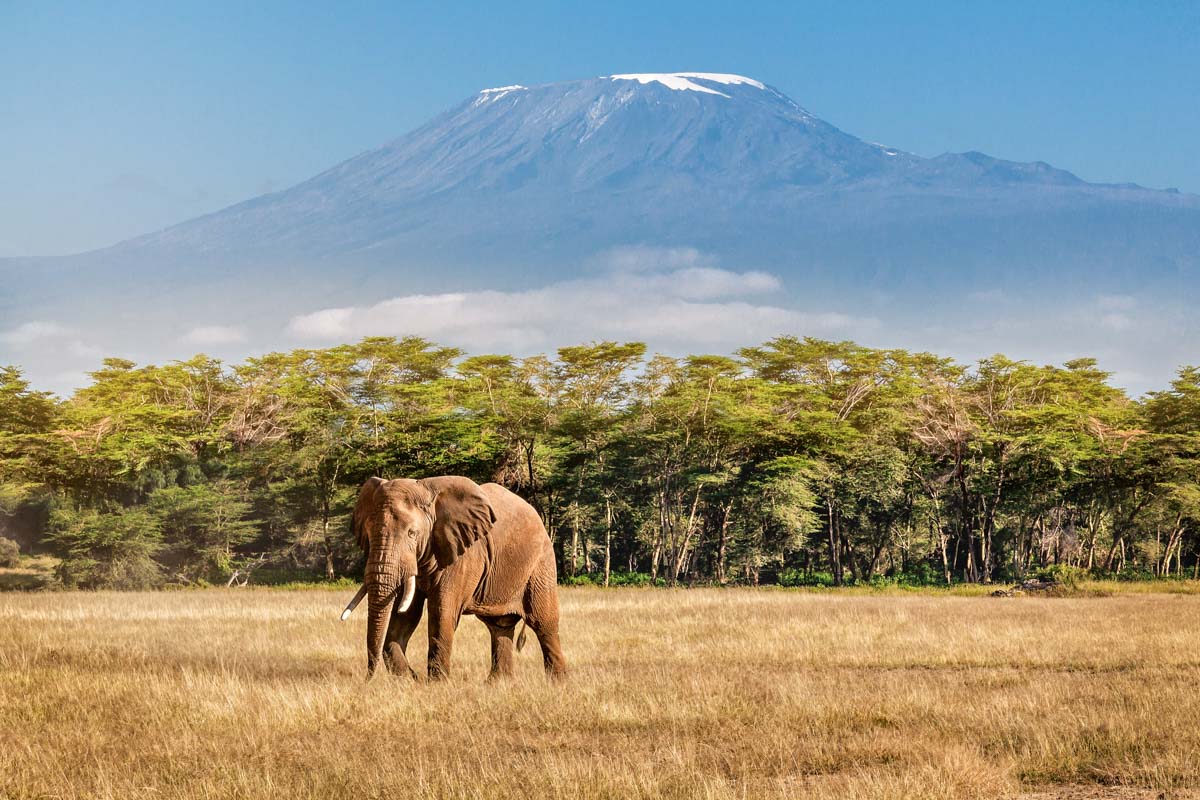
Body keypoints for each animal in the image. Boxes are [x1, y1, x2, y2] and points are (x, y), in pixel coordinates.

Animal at [336, 472, 564, 686]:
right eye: (368, 532)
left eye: (412, 533)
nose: (367, 678)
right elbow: (406, 614)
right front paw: (411, 680)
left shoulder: (463, 554)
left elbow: (441, 612)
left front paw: (436, 684)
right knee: (499, 626)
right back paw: (497, 684)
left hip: (541, 563)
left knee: (543, 623)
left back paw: (557, 683)